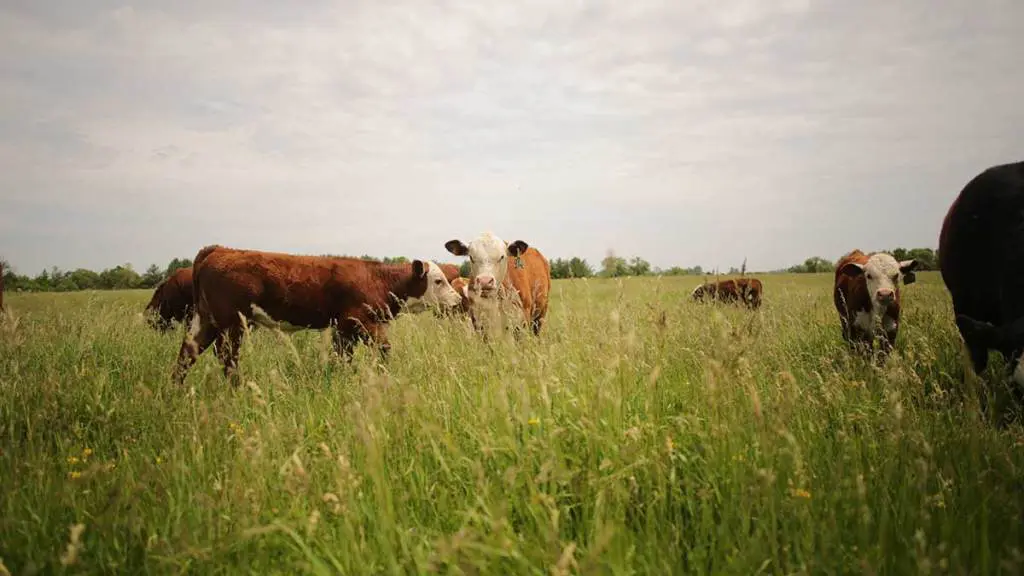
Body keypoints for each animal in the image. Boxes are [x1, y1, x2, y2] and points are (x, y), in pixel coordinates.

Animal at [172, 245, 463, 385]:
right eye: (438, 281)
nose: (459, 299)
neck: (376, 279)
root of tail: (219, 249)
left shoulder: (343, 328)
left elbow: (342, 356)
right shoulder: (361, 322)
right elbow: (383, 350)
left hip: (205, 320)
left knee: (187, 353)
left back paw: (176, 390)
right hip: (232, 324)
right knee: (227, 358)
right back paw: (237, 390)